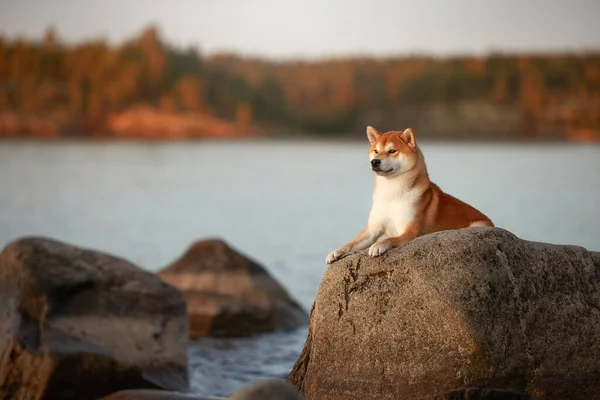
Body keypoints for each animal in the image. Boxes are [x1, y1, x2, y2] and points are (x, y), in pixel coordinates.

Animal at [326, 124, 494, 262]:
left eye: (392, 151)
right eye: (376, 151)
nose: (374, 161)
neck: (391, 194)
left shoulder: (409, 231)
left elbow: (389, 240)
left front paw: (378, 246)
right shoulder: (371, 231)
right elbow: (351, 243)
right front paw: (336, 252)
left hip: (477, 225)